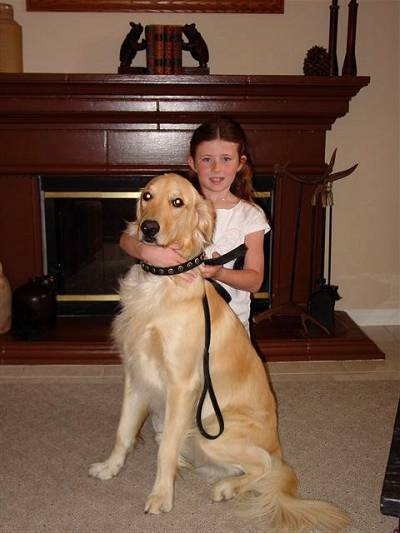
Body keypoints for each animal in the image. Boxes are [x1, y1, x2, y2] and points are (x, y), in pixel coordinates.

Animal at [90, 172, 350, 528]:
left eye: (177, 202)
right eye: (146, 196)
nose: (148, 228)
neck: (162, 281)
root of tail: (278, 446)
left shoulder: (182, 385)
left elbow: (165, 449)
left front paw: (161, 496)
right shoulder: (135, 372)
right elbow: (123, 431)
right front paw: (110, 467)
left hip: (211, 428)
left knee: (264, 465)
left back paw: (226, 487)